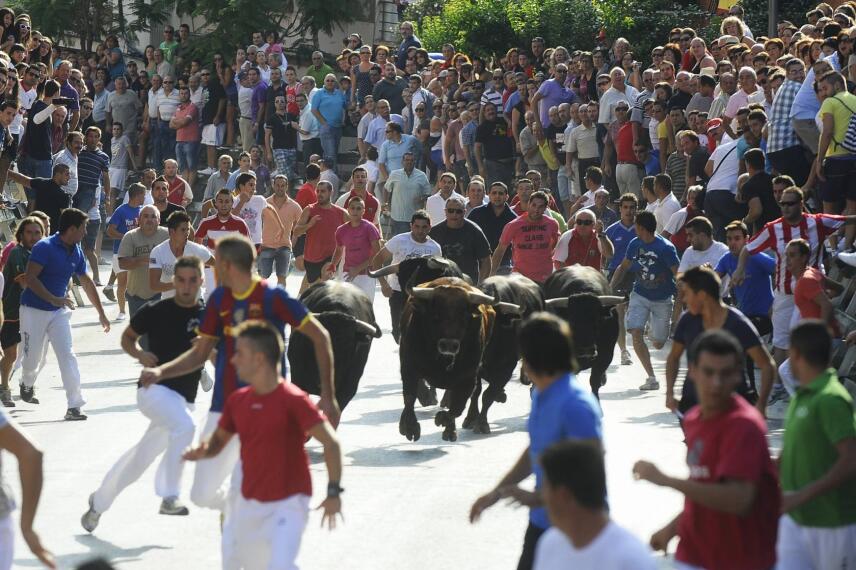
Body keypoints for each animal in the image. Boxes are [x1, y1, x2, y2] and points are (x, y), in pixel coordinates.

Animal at [398, 277, 497, 442]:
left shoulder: (468, 378)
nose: (449, 345)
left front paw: (444, 421)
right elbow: (409, 397)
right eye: (436, 315)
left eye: (464, 316)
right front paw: (409, 427)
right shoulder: (408, 367)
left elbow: (457, 407)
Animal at [462, 274, 542, 434]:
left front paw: (482, 423)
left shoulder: (507, 367)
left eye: (489, 318)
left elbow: (487, 395)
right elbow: (476, 391)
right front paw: (470, 418)